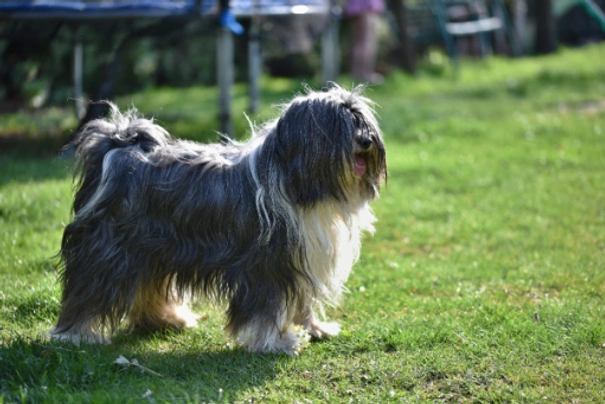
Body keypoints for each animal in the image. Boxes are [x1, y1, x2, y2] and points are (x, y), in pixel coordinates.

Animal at [49, 84, 384, 354]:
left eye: (361, 120)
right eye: (339, 123)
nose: (366, 141)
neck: (296, 181)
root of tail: (118, 150)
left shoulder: (301, 258)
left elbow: (302, 300)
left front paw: (314, 328)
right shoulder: (267, 264)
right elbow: (267, 307)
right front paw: (274, 342)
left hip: (153, 248)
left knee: (148, 285)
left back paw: (168, 319)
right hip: (109, 249)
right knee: (90, 288)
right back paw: (76, 334)